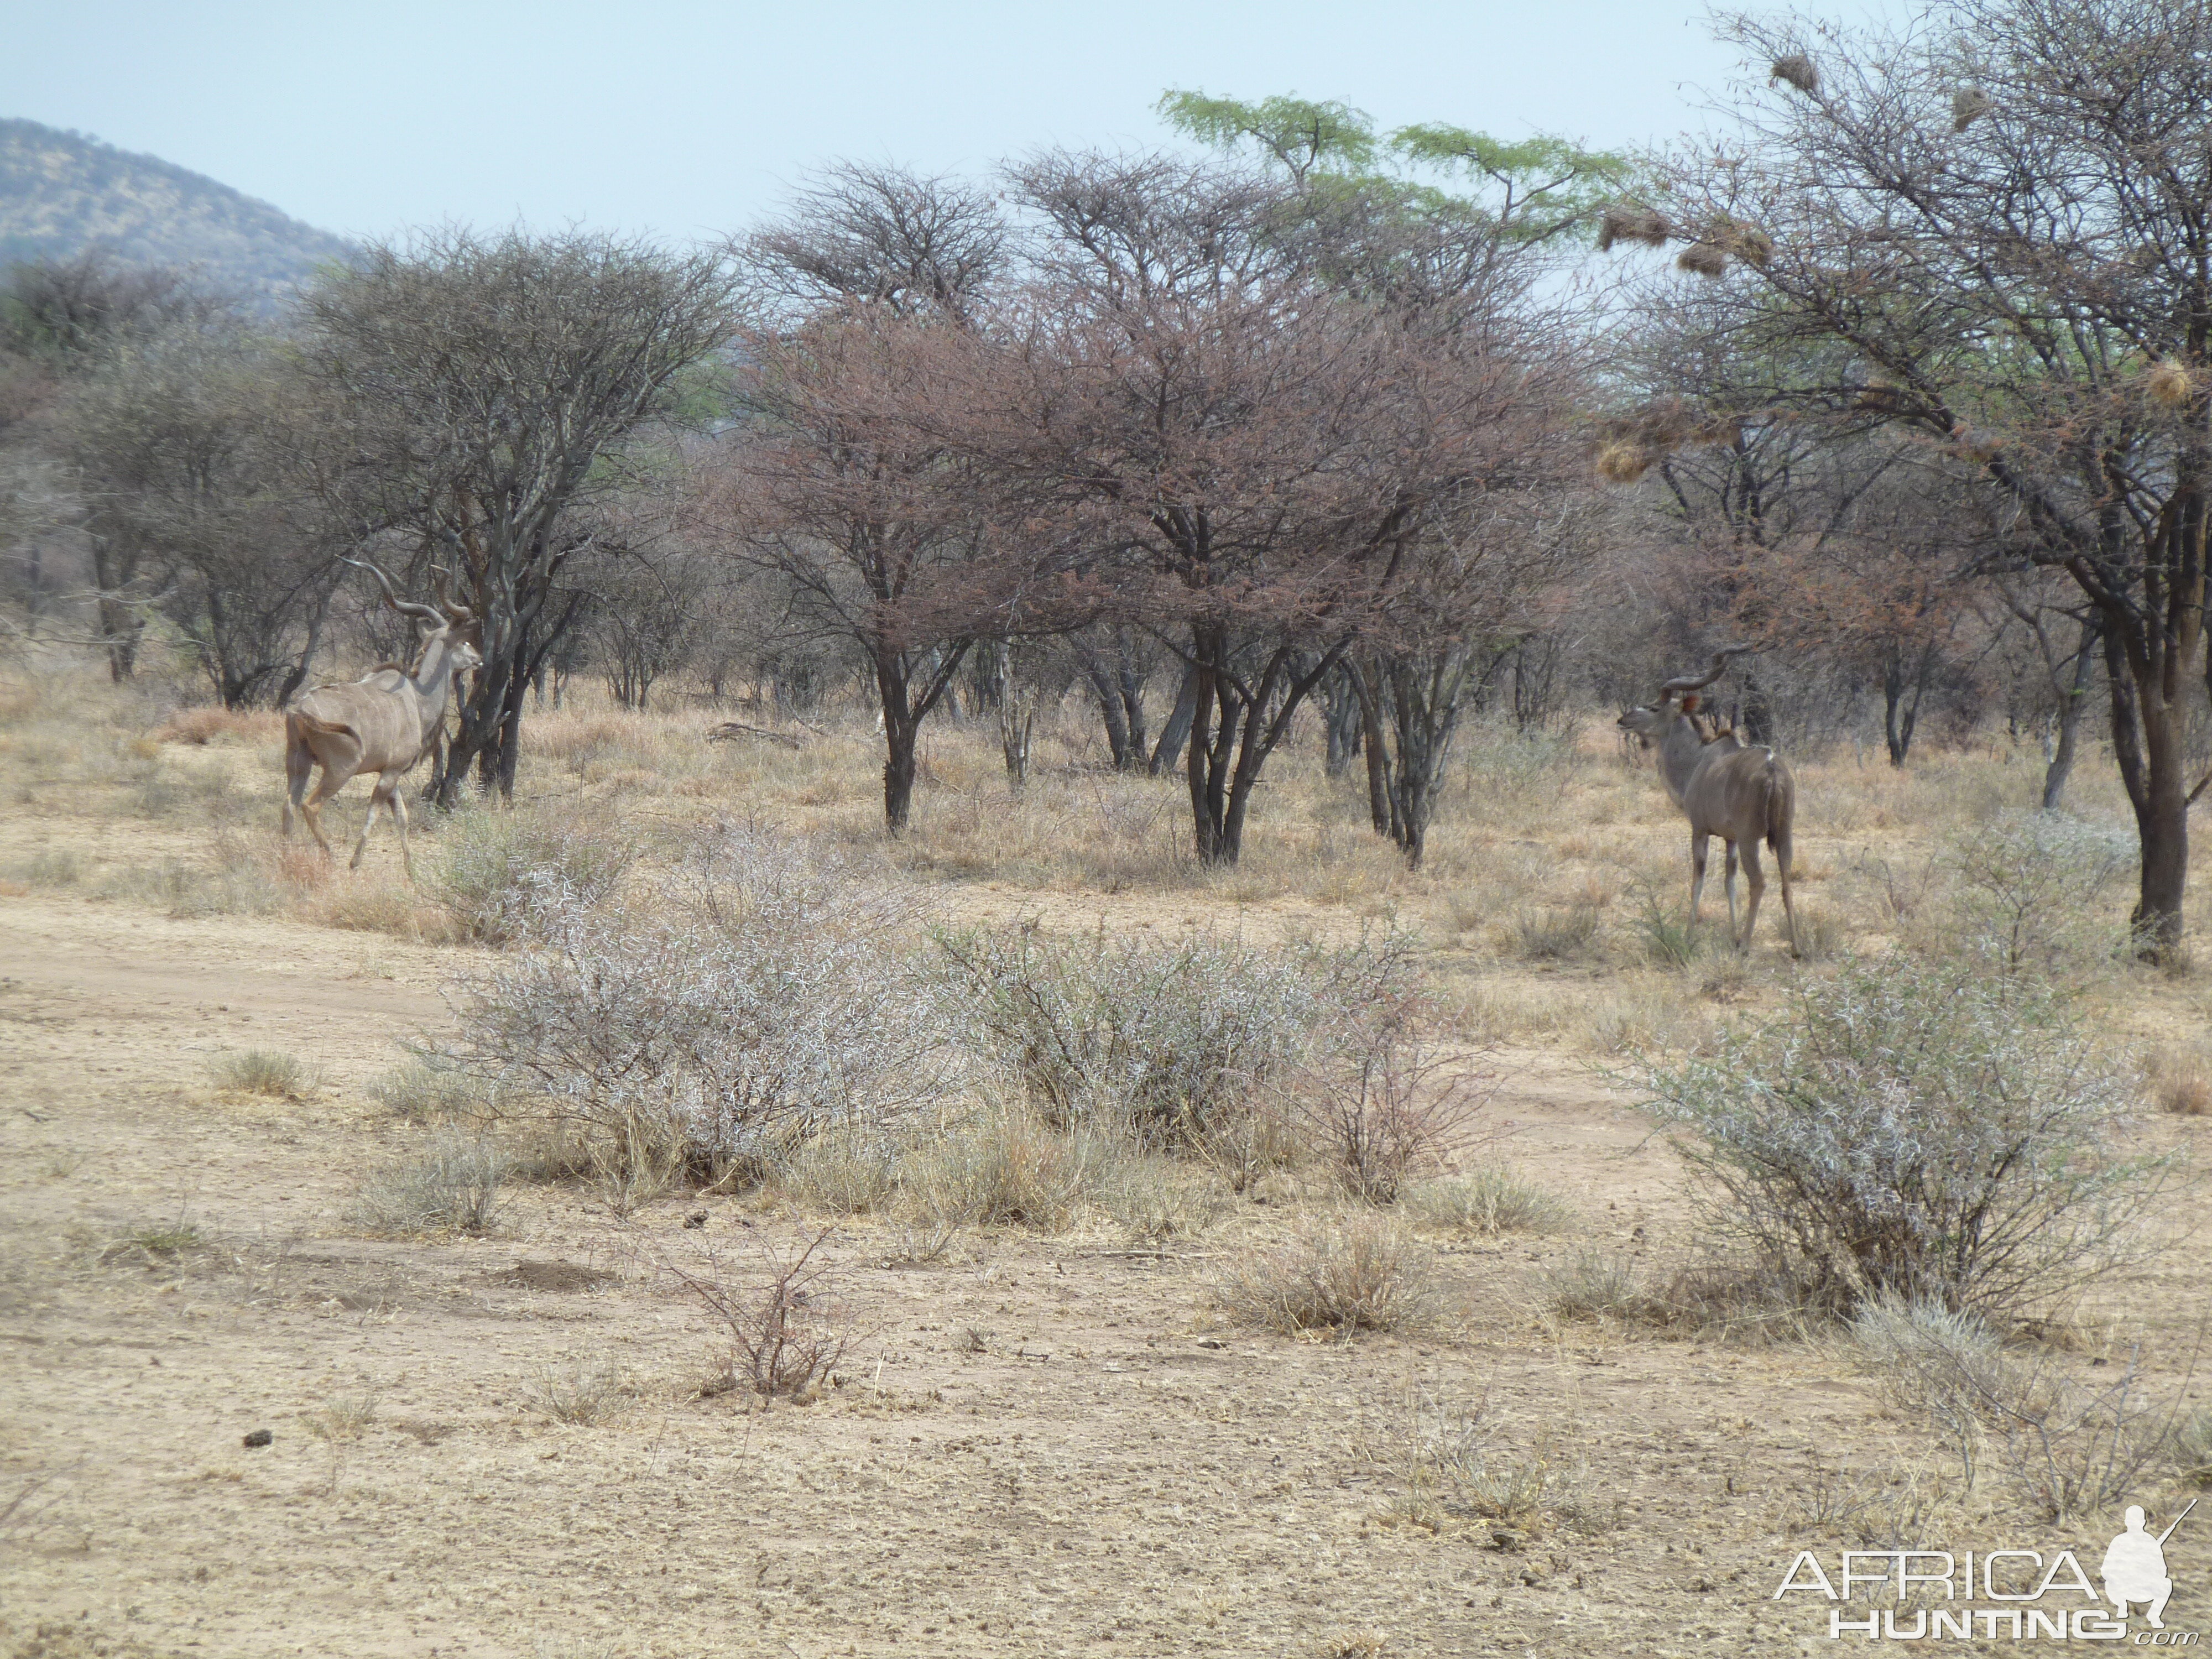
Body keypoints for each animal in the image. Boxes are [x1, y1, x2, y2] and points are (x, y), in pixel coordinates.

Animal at [281, 566, 480, 885]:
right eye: (463, 641)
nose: (479, 659)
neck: (416, 697)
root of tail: (299, 709)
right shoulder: (392, 771)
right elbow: (374, 813)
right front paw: (355, 864)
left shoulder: (391, 772)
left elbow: (401, 817)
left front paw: (412, 870)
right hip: (339, 771)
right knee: (310, 806)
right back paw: (330, 856)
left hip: (299, 763)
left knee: (288, 805)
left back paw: (286, 860)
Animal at [1619, 655, 1805, 960]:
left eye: (1654, 707)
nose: (1623, 719)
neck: (1698, 761)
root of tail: (1773, 771)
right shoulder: (1730, 839)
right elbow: (1730, 881)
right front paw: (1732, 936)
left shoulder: (1701, 830)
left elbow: (1700, 877)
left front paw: (1689, 935)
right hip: (1783, 835)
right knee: (1786, 880)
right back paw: (1797, 948)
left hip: (1750, 840)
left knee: (1759, 882)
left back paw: (1747, 947)